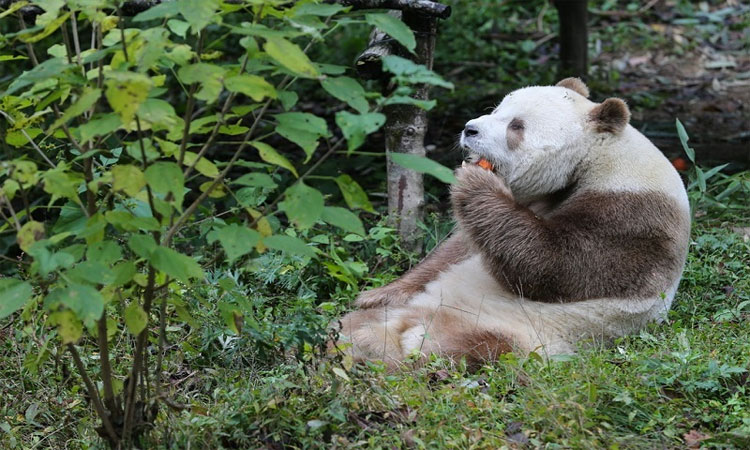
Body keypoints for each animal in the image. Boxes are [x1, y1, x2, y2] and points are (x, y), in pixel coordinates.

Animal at [334, 78, 691, 369]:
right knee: (361, 321)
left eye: (516, 126)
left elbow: (558, 267)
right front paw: (376, 292)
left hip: (522, 328)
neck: (594, 157)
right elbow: (458, 248)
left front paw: (475, 182)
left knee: (471, 345)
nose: (469, 129)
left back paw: (403, 345)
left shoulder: (633, 216)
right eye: (497, 110)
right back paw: (359, 332)